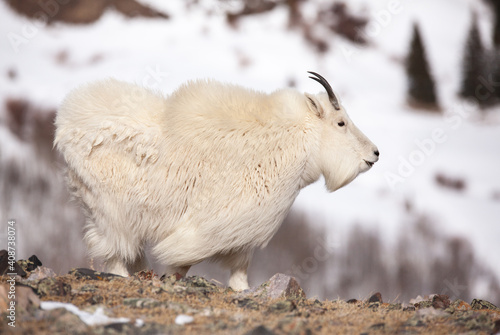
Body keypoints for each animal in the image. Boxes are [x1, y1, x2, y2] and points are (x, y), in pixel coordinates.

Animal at [54, 71, 378, 292]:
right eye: (340, 123)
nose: (374, 154)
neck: (292, 143)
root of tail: (65, 124)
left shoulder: (242, 235)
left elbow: (239, 271)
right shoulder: (212, 225)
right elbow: (183, 258)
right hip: (112, 207)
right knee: (114, 248)